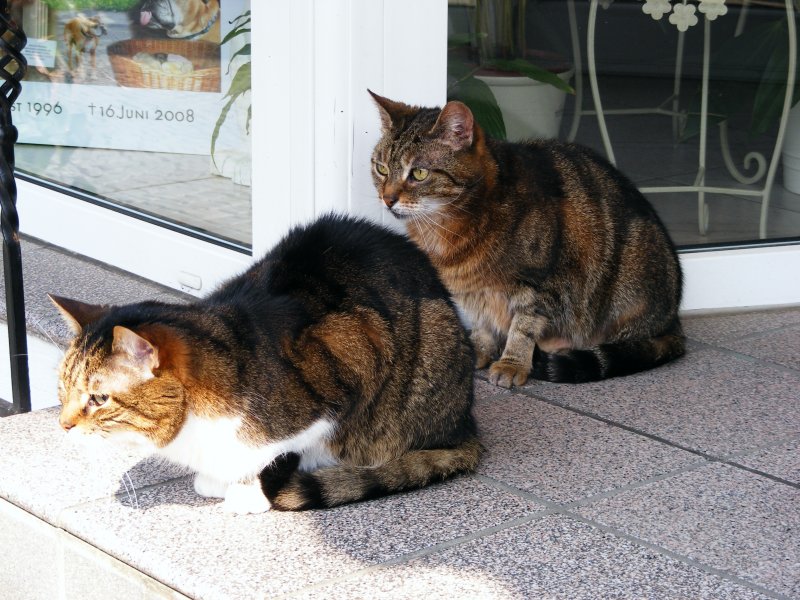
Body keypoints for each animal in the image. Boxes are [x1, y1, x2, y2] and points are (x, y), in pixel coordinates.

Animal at [54, 213, 482, 512]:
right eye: (62, 390)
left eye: (99, 399)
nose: (62, 425)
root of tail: (465, 421)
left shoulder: (349, 365)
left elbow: (277, 452)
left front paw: (247, 492)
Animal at [372, 91, 684, 386]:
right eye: (381, 168)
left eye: (419, 173)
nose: (387, 199)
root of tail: (673, 322)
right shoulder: (474, 290)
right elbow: (483, 323)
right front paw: (479, 350)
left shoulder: (543, 283)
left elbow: (523, 327)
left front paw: (512, 363)